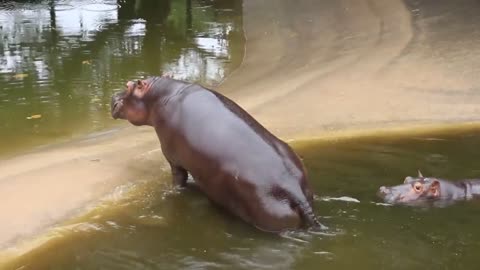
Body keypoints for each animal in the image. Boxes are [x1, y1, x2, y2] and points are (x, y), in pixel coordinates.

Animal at [110, 76, 324, 232]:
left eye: (127, 86)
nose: (112, 97)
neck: (160, 95)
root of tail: (292, 188)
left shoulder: (173, 159)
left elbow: (178, 180)